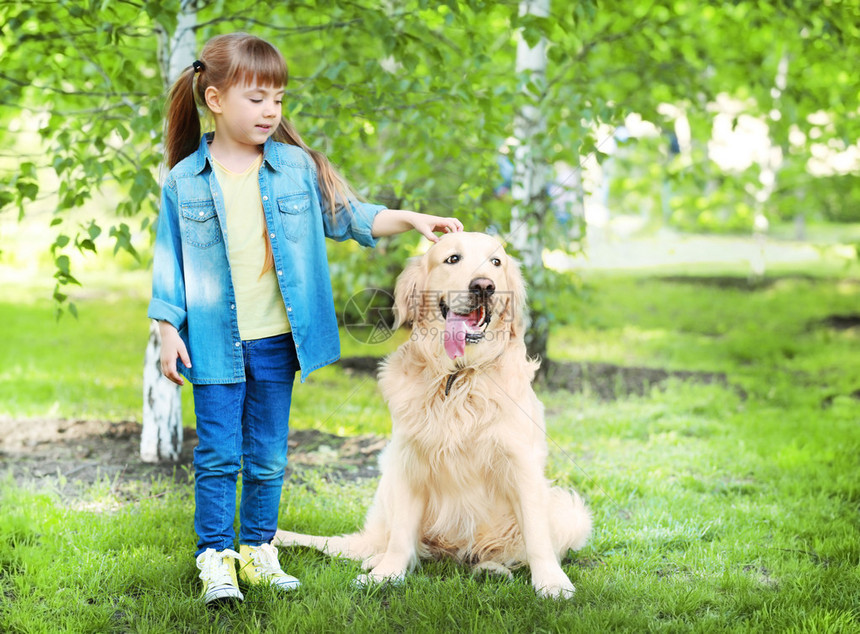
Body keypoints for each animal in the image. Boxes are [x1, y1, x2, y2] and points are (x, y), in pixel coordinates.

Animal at [276, 230, 592, 596]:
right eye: (452, 259)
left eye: (496, 262)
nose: (484, 286)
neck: (458, 375)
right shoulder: (409, 460)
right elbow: (401, 537)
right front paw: (386, 575)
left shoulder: (522, 462)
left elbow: (537, 536)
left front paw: (551, 582)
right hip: (389, 475)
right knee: (396, 543)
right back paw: (376, 560)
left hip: (570, 512)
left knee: (502, 552)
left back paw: (492, 569)